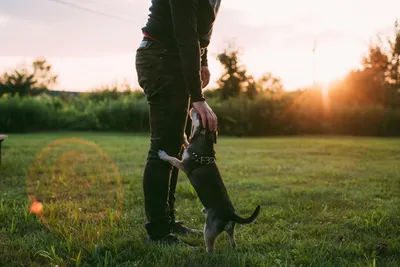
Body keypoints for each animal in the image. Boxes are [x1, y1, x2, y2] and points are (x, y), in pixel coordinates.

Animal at [158, 108, 260, 253]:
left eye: (199, 115)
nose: (193, 108)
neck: (203, 139)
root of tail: (230, 214)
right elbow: (186, 141)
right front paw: (183, 134)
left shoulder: (184, 165)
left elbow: (173, 159)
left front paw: (163, 155)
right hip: (230, 228)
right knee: (233, 240)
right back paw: (232, 247)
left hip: (209, 230)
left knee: (211, 248)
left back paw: (205, 253)